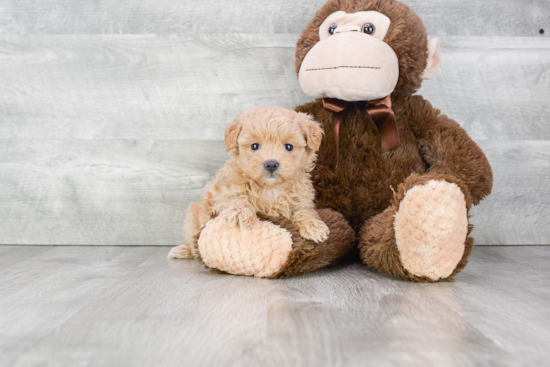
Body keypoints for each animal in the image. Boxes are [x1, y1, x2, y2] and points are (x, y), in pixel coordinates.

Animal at [168, 105, 330, 260]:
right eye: (254, 146)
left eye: (288, 147)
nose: (271, 164)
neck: (270, 188)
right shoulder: (225, 190)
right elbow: (233, 198)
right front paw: (240, 213)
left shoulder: (301, 198)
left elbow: (304, 211)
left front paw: (313, 226)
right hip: (193, 216)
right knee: (192, 240)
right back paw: (183, 250)